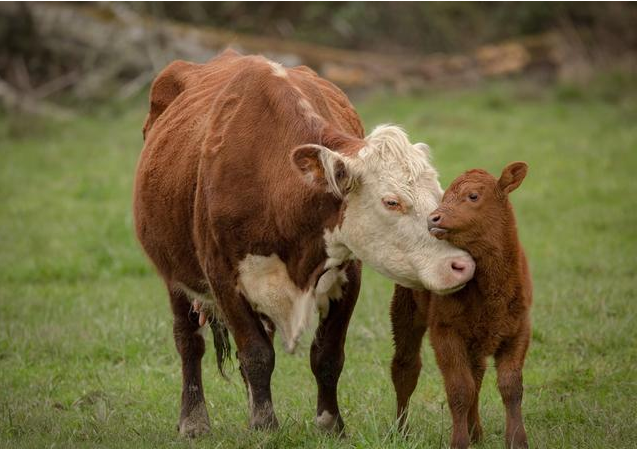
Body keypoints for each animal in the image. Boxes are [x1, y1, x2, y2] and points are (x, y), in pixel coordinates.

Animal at [133, 50, 472, 438]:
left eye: (438, 195)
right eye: (391, 201)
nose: (461, 265)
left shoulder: (348, 274)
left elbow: (326, 355)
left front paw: (329, 423)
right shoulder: (223, 278)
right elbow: (256, 354)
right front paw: (265, 425)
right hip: (174, 274)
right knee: (189, 341)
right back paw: (194, 420)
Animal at [390, 162, 528, 448]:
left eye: (473, 196)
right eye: (443, 197)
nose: (433, 218)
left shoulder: (519, 330)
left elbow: (510, 386)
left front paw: (517, 440)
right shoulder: (445, 332)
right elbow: (459, 389)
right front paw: (459, 441)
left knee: (477, 374)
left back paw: (476, 433)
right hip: (405, 311)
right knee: (405, 368)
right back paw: (402, 432)